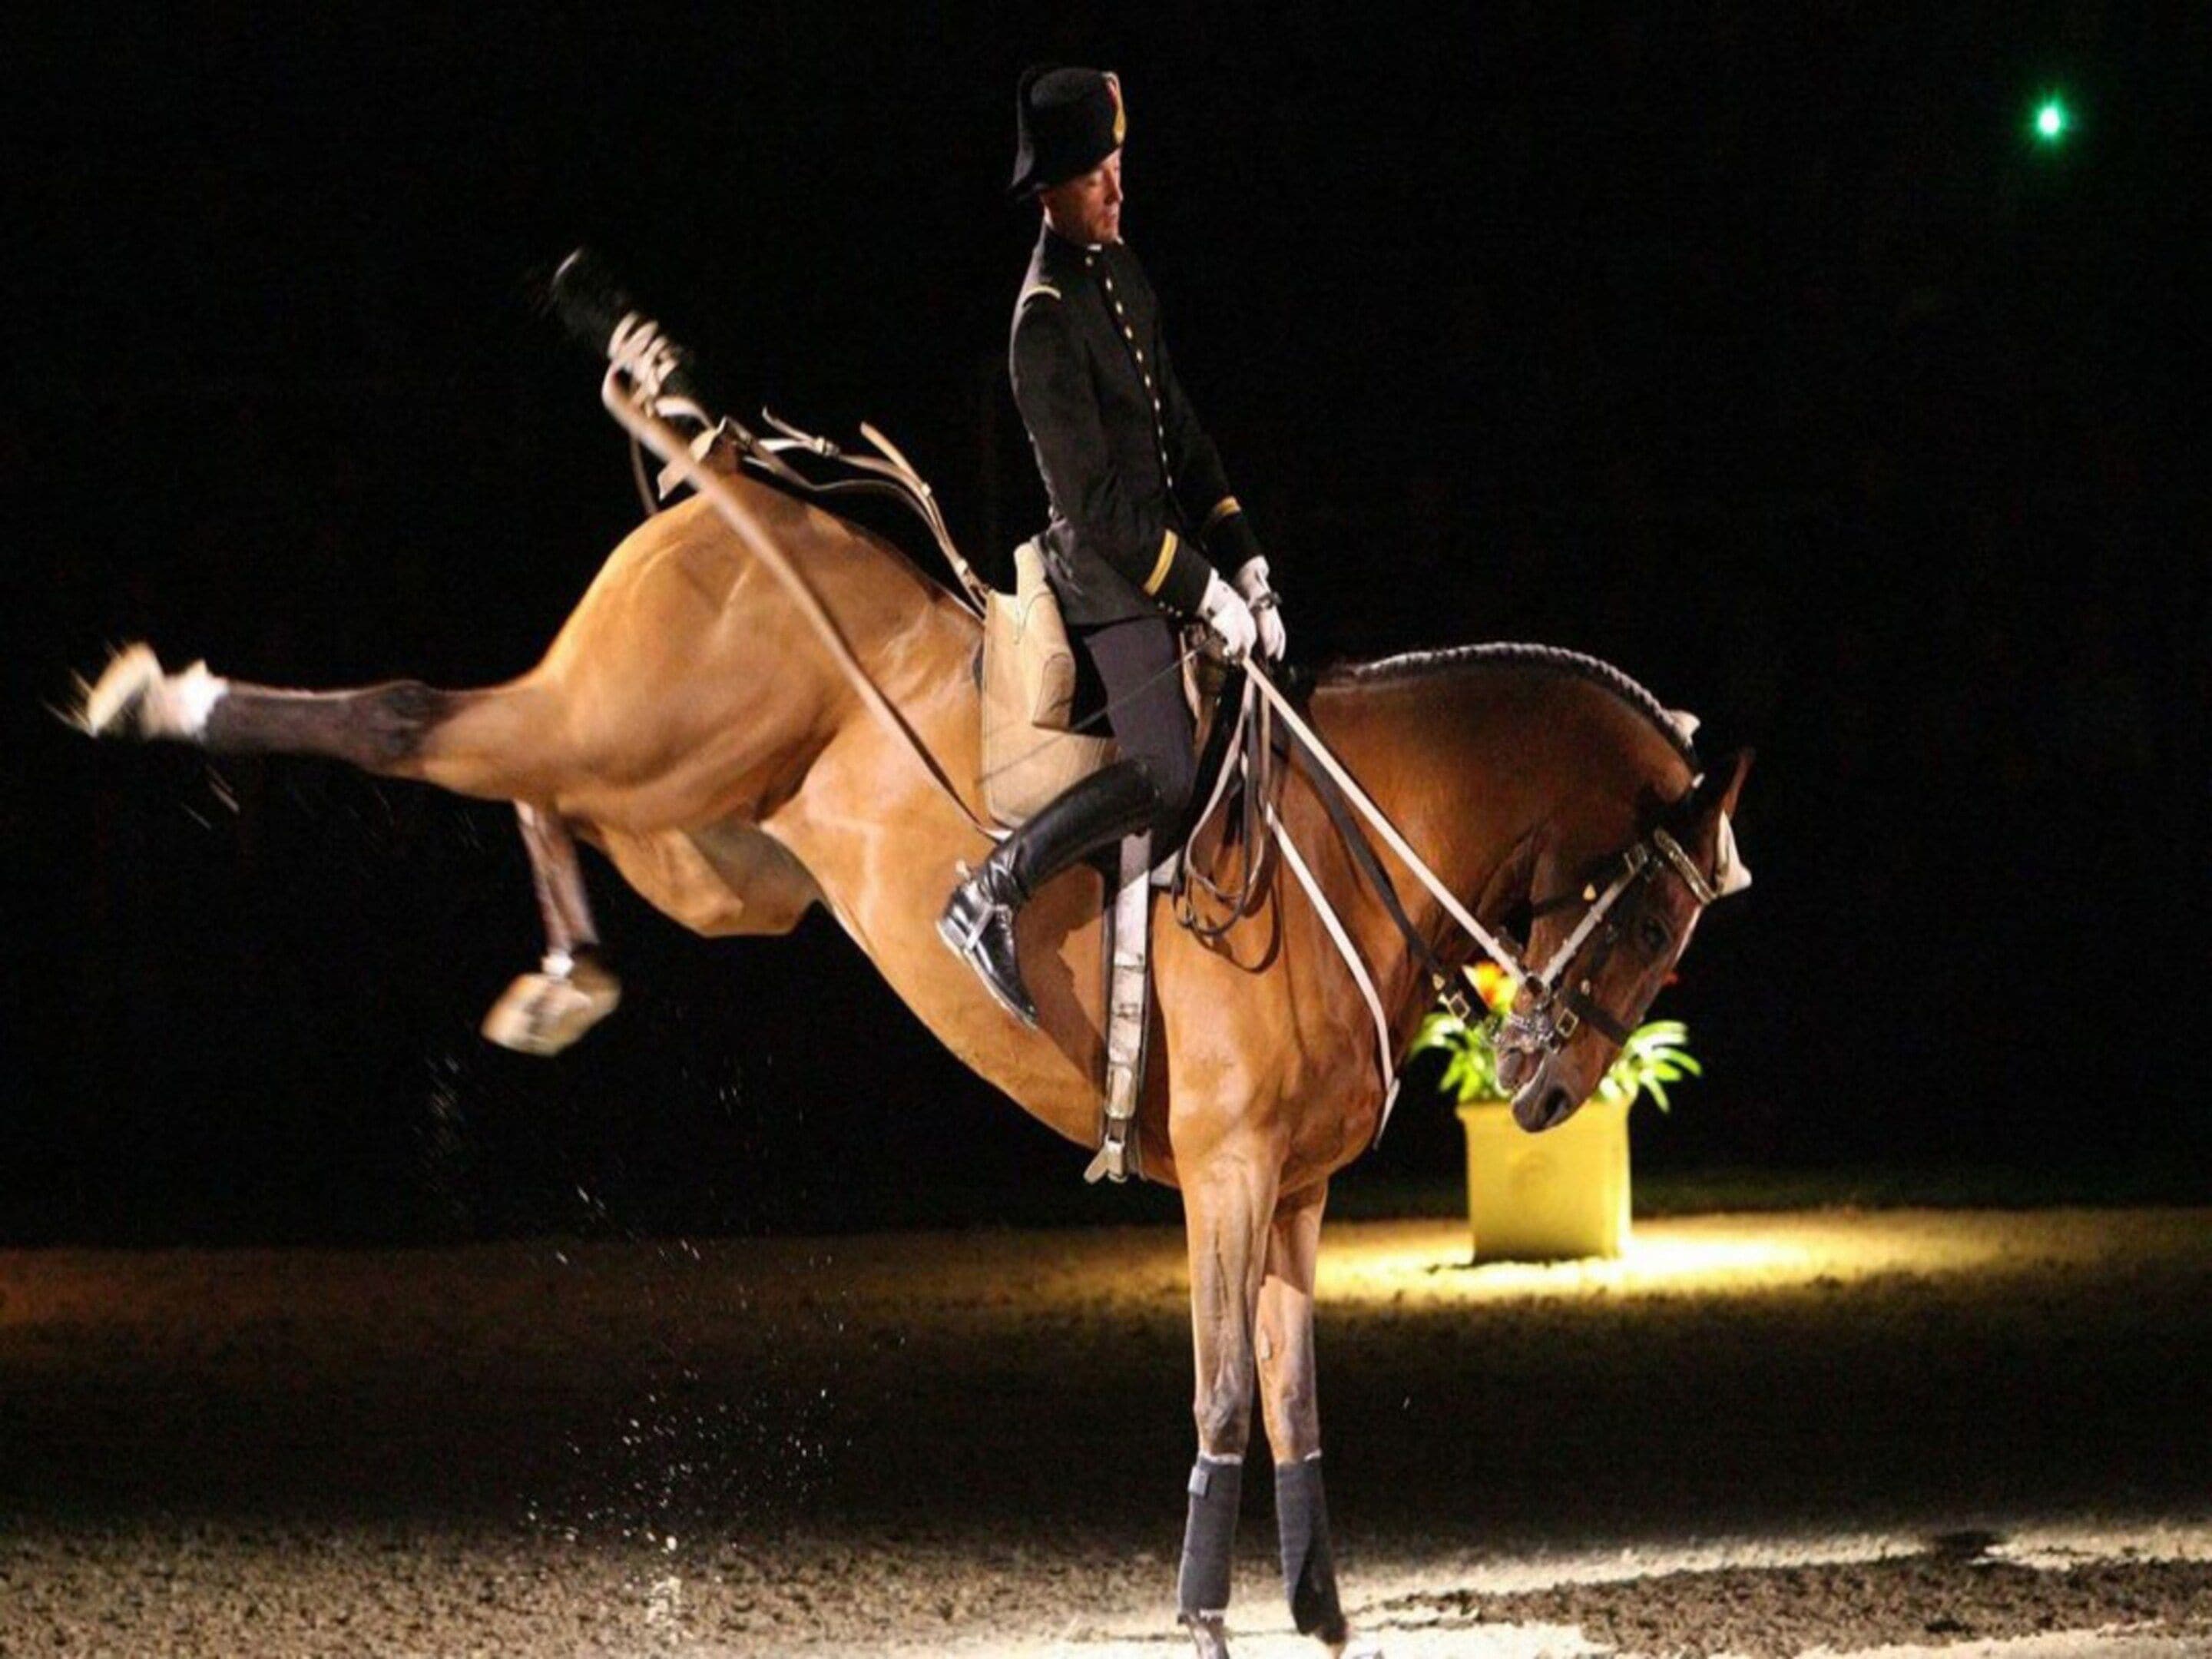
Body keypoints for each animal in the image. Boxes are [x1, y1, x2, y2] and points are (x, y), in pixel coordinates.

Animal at [78, 457, 1750, 1656]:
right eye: (1653, 921)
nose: (1546, 1090)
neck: (1348, 838)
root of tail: (725, 494)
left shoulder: (1294, 1199)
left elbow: (1295, 1407)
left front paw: (1322, 1621)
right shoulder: (1227, 1180)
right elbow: (1223, 1403)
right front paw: (1207, 1621)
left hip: (707, 850)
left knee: (525, 783)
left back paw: (563, 978)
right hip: (644, 745)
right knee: (422, 721)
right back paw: (164, 695)